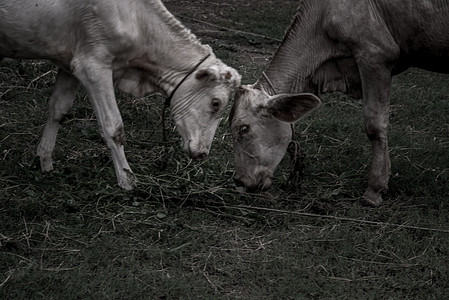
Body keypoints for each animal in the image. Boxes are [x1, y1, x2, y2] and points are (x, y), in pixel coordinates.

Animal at [0, 0, 240, 189]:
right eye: (216, 103)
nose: (202, 153)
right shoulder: (93, 65)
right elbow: (114, 127)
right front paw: (127, 179)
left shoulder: (69, 64)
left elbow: (58, 110)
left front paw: (45, 160)